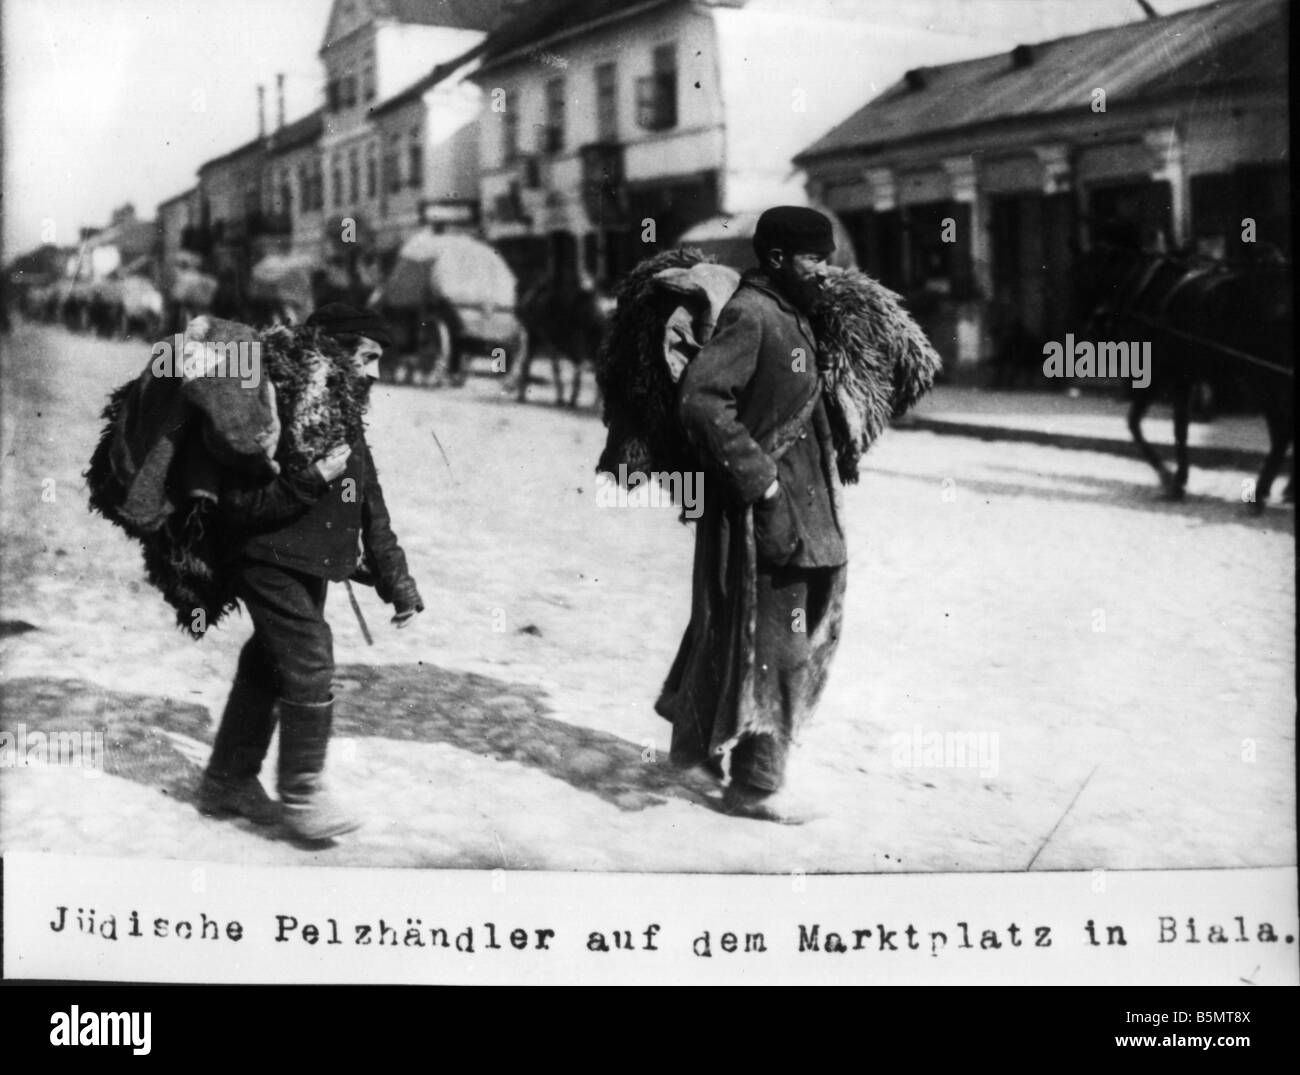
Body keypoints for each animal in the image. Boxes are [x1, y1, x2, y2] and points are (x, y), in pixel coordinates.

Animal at [1081, 244, 1294, 512]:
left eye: (1086, 274)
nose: (1090, 329)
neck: (1148, 286)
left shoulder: (1159, 375)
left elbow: (1135, 423)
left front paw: (1167, 477)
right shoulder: (1183, 378)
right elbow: (1180, 427)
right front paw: (1179, 479)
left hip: (1265, 382)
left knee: (1281, 434)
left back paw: (1261, 494)